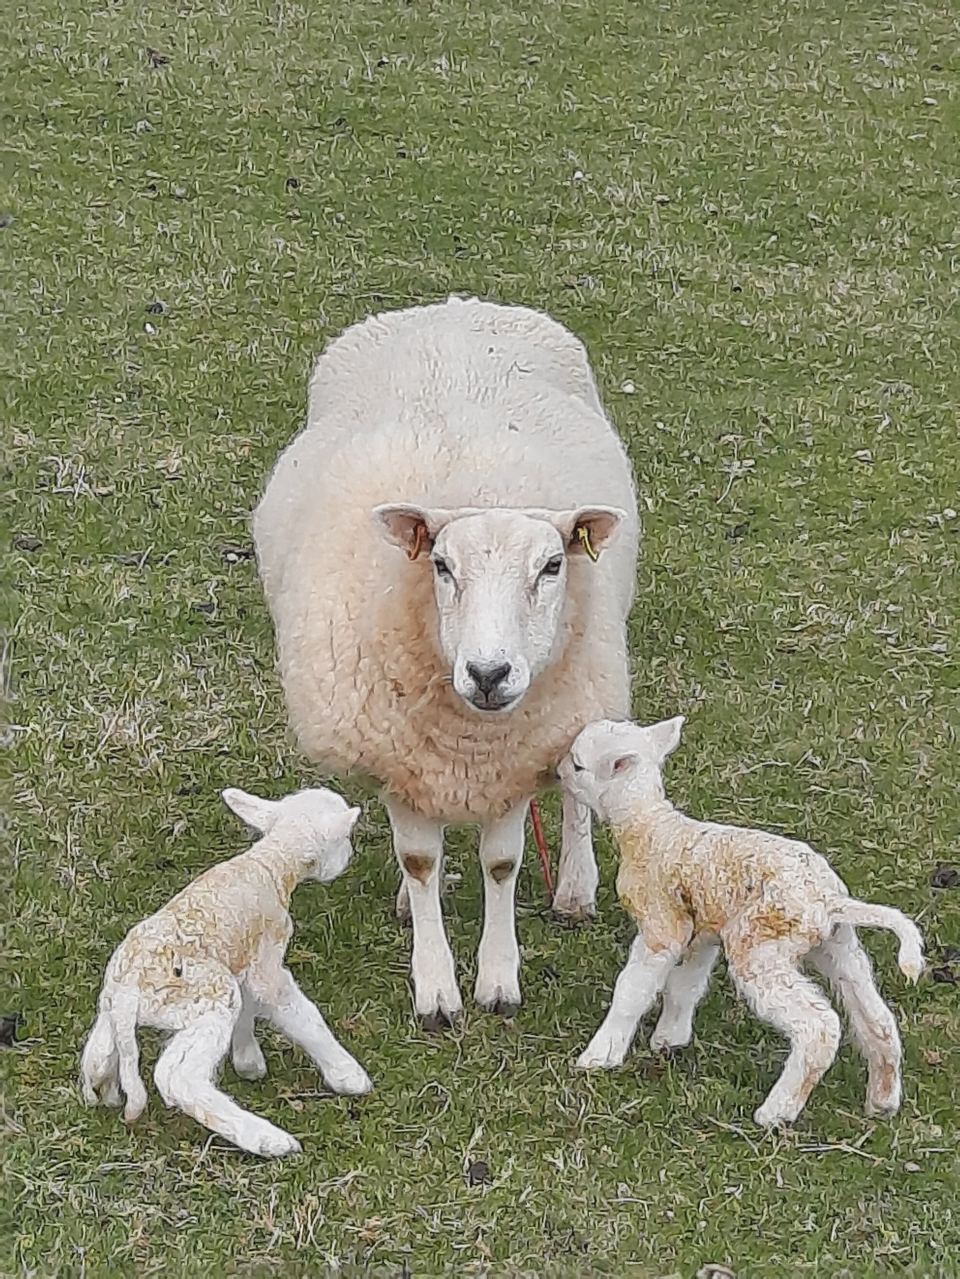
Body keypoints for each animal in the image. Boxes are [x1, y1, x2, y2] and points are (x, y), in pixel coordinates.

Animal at [80, 786, 369, 1157]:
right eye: (346, 837)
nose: (350, 855)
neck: (271, 864)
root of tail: (128, 994)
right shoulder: (265, 960)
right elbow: (299, 1013)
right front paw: (348, 1075)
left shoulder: (242, 956)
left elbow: (250, 1007)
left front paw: (248, 1061)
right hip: (206, 998)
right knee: (177, 1078)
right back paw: (267, 1139)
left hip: (118, 1014)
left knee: (98, 1058)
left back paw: (106, 1091)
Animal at [253, 296, 640, 1027]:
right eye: (440, 565)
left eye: (551, 566)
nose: (490, 674)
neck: (470, 740)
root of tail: (461, 302)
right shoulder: (398, 753)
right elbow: (420, 859)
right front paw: (434, 985)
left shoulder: (515, 757)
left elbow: (502, 863)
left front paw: (498, 980)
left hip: (584, 685)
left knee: (579, 775)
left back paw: (576, 886)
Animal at [559, 717, 925, 1128]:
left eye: (577, 765)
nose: (556, 771)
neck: (649, 827)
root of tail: (829, 901)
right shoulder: (703, 931)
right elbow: (684, 986)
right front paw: (669, 1039)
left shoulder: (661, 924)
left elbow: (632, 990)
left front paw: (600, 1055)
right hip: (837, 945)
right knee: (875, 1015)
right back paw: (882, 1099)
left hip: (760, 944)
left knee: (819, 1026)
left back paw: (777, 1112)